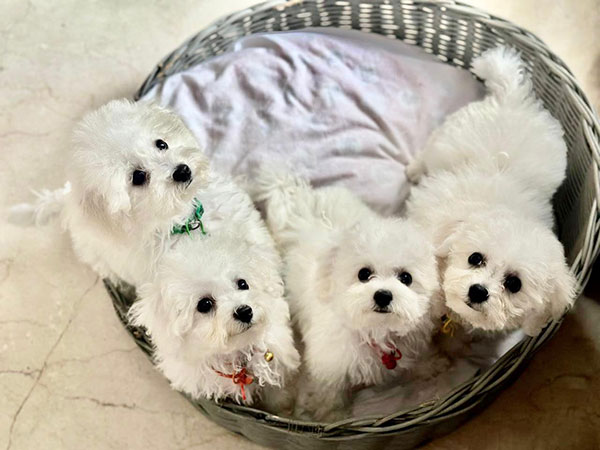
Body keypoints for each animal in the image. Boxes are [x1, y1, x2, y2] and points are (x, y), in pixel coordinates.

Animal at [252, 170, 441, 421]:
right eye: (364, 274)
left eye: (406, 278)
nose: (383, 295)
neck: (375, 330)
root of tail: (298, 196)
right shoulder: (331, 362)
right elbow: (330, 392)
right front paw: (333, 416)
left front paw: (431, 365)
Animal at [405, 46, 576, 339]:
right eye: (475, 258)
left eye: (514, 284)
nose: (478, 291)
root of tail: (513, 96)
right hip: (448, 137)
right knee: (429, 152)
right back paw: (413, 169)